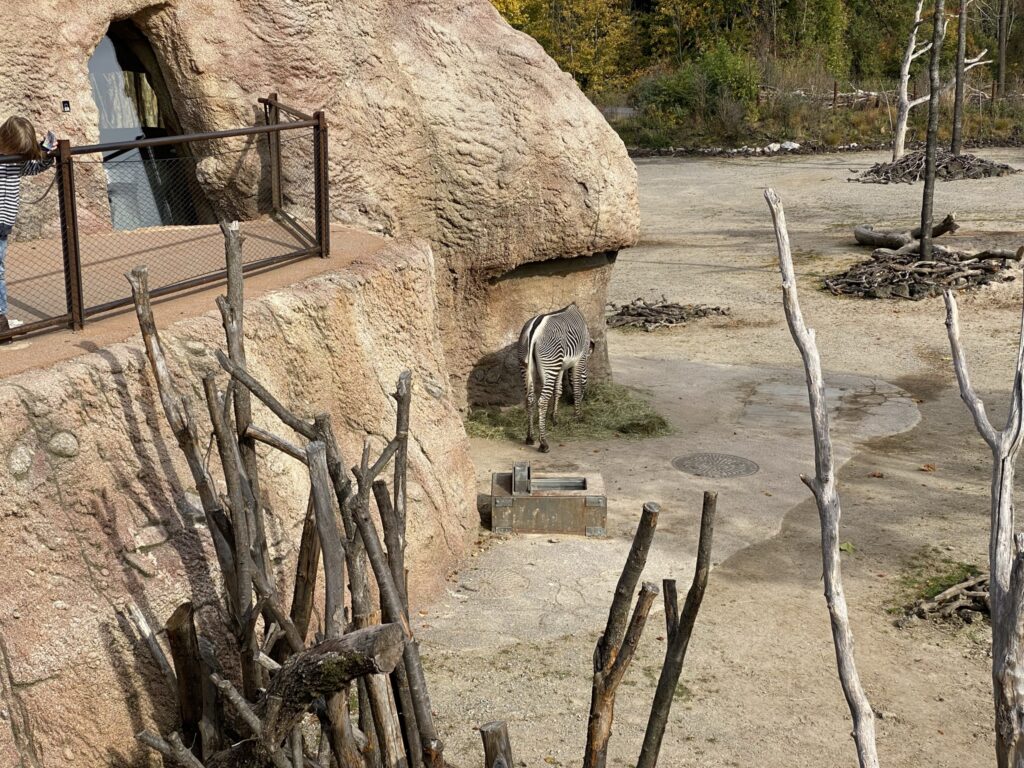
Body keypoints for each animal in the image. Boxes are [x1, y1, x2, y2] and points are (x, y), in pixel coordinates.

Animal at [518, 303, 595, 453]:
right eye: (586, 379)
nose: (586, 397)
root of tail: (533, 331)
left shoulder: (560, 367)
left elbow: (558, 390)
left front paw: (554, 418)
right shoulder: (579, 360)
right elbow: (576, 389)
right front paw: (578, 416)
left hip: (528, 364)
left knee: (530, 399)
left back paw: (530, 437)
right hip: (550, 363)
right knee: (542, 401)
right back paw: (543, 443)